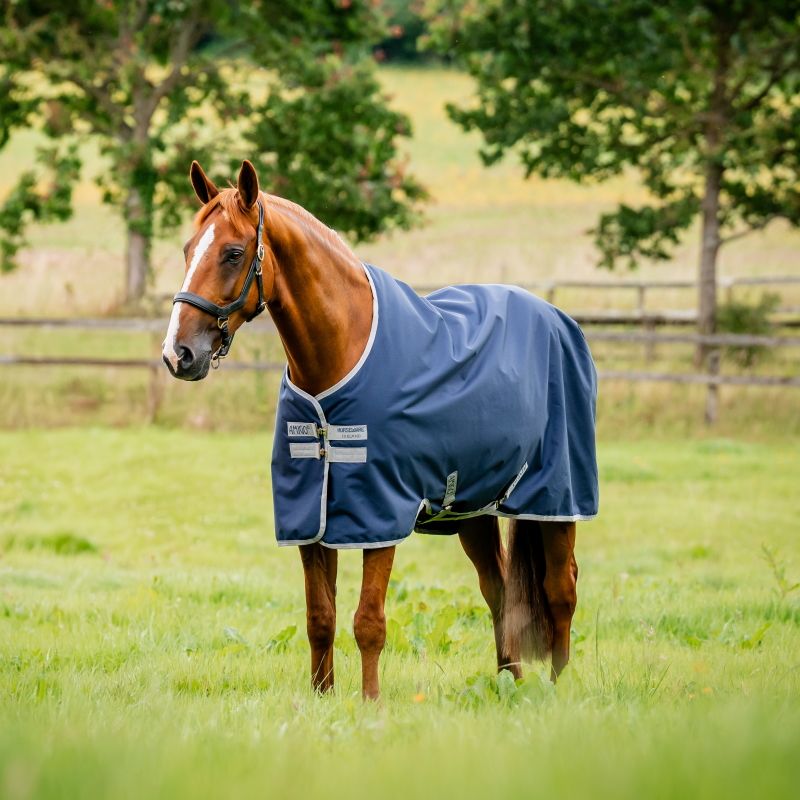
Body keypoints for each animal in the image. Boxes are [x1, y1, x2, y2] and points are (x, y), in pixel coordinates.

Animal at [163, 159, 597, 699]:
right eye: (187, 250)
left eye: (233, 253)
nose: (178, 354)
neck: (340, 355)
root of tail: (558, 319)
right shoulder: (311, 516)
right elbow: (320, 618)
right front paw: (322, 698)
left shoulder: (379, 511)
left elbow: (368, 621)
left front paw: (371, 704)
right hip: (471, 509)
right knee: (498, 591)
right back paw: (509, 682)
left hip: (556, 497)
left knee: (561, 589)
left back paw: (559, 687)